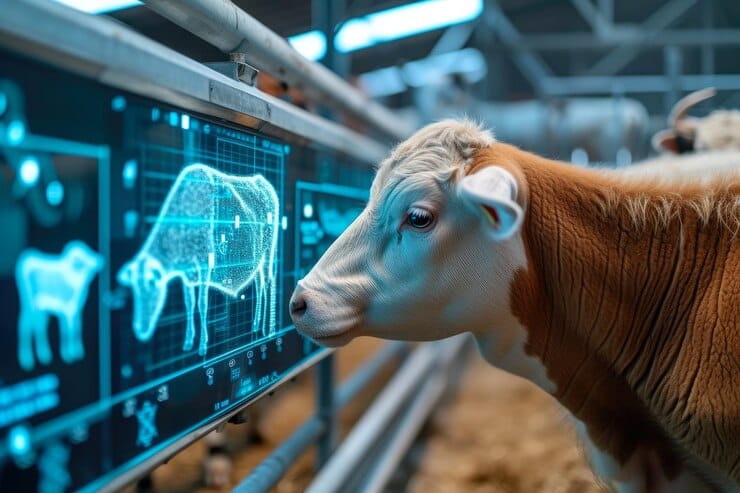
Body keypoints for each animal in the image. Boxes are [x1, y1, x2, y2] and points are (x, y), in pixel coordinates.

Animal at [16, 240, 103, 371]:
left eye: (88, 251)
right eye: (80, 260)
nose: (99, 260)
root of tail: (30, 257)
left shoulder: (75, 310)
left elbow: (77, 327)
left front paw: (76, 352)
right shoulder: (67, 310)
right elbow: (68, 329)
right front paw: (69, 355)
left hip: (41, 307)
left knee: (39, 325)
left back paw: (44, 355)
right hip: (29, 304)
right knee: (25, 325)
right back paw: (27, 360)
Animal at [117, 163, 279, 356]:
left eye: (151, 283)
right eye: (134, 288)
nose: (140, 328)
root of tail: (263, 183)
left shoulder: (204, 266)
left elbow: (202, 304)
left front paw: (202, 345)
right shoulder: (186, 274)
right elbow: (189, 304)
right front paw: (188, 341)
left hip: (269, 252)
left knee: (268, 283)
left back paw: (268, 329)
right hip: (258, 259)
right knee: (259, 284)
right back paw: (256, 325)